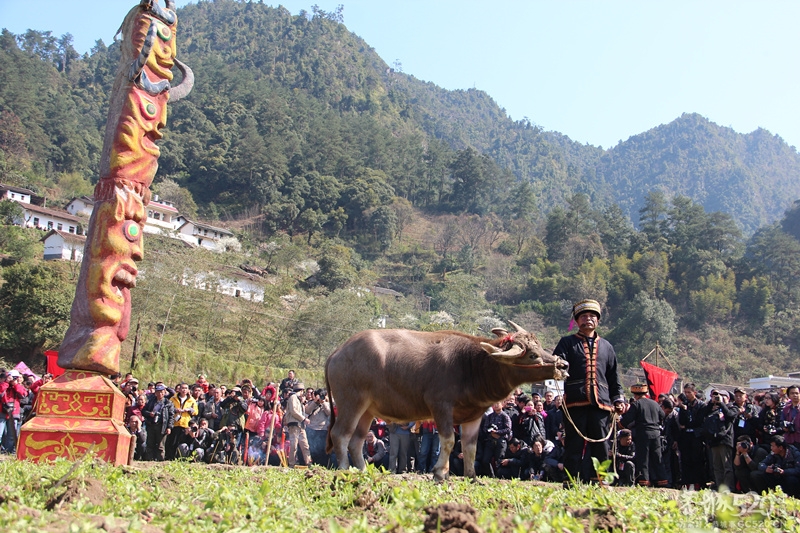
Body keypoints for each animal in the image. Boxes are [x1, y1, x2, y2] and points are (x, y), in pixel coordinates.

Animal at [324, 322, 568, 480]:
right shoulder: (440, 407)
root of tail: (337, 352)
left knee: (356, 441)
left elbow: (470, 447)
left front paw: (471, 476)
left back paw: (362, 471)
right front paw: (440, 472)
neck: (472, 365)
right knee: (341, 434)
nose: (564, 365)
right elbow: (449, 441)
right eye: (532, 355)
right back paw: (344, 468)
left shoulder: (475, 416)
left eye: (539, 346)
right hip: (351, 402)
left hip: (367, 410)